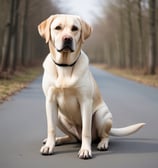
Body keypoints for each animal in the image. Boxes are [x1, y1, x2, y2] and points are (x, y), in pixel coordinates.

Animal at [37, 14, 145, 159]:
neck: (65, 66)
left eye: (74, 28)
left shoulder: (86, 102)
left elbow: (86, 132)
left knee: (103, 135)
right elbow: (51, 128)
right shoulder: (50, 101)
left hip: (101, 115)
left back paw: (102, 144)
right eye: (57, 28)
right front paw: (49, 145)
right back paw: (59, 140)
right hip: (59, 116)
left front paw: (85, 150)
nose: (67, 38)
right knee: (73, 137)